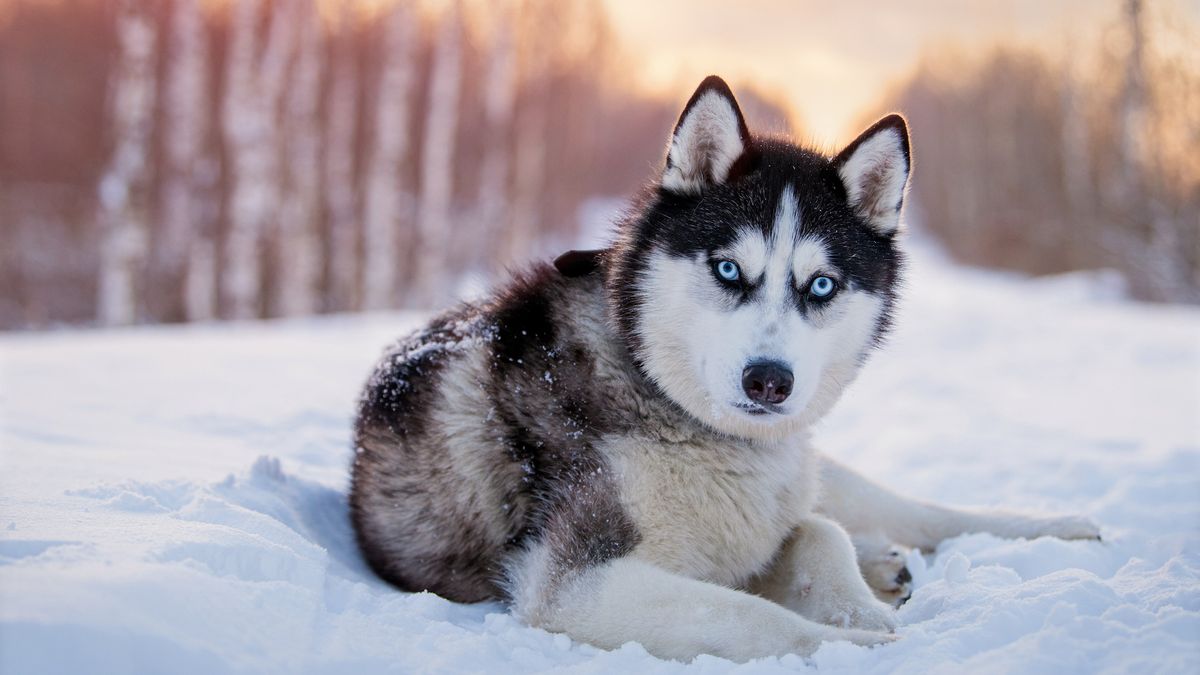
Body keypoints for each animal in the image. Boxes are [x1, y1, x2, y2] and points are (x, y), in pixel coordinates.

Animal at [350, 76, 1099, 658]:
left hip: (819, 467)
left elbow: (817, 533)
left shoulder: (761, 515)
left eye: (821, 285)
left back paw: (1052, 529)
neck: (665, 400)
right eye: (729, 269)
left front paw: (858, 603)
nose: (768, 380)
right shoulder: (574, 583)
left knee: (914, 511)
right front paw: (860, 642)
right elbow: (755, 614)